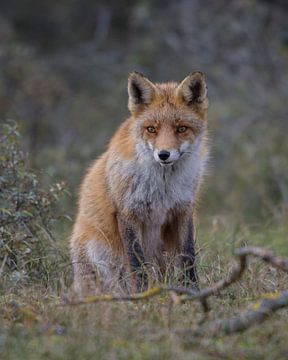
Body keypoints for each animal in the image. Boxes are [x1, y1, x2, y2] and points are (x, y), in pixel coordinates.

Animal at [70, 71, 209, 296]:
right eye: (151, 129)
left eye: (181, 128)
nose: (163, 154)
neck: (163, 187)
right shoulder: (128, 212)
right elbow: (137, 262)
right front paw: (142, 295)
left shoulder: (183, 209)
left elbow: (189, 257)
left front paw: (193, 291)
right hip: (96, 250)